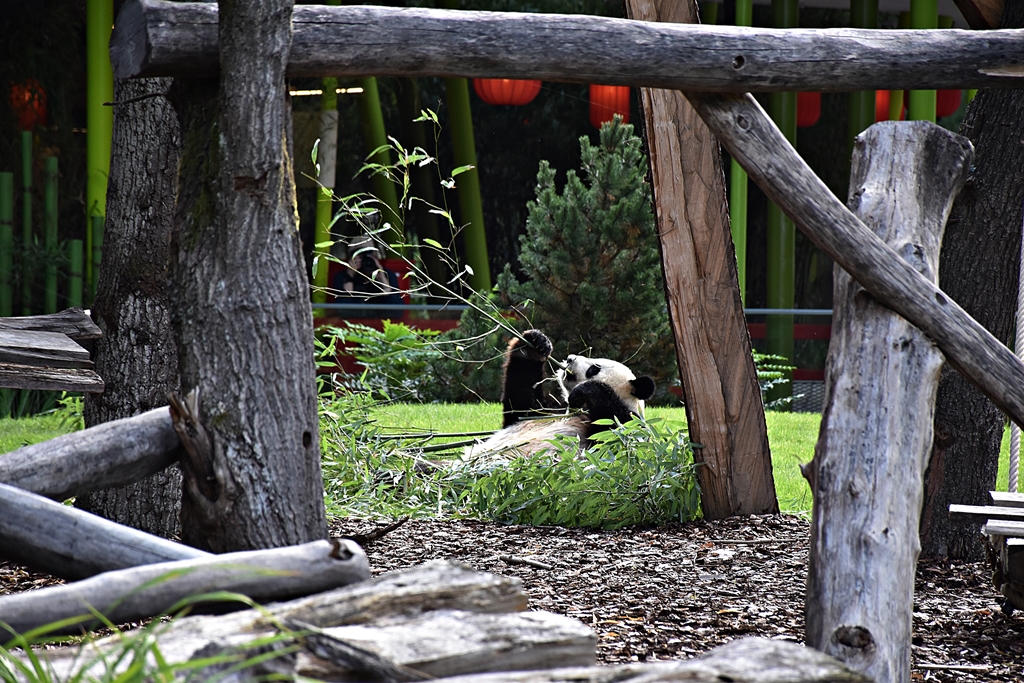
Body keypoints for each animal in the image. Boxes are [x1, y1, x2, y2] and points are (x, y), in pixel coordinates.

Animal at [463, 329, 656, 462]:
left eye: (594, 368)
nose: (570, 358)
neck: (581, 410)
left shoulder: (632, 426)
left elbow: (614, 436)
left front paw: (585, 391)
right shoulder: (548, 412)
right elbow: (521, 400)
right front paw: (536, 343)